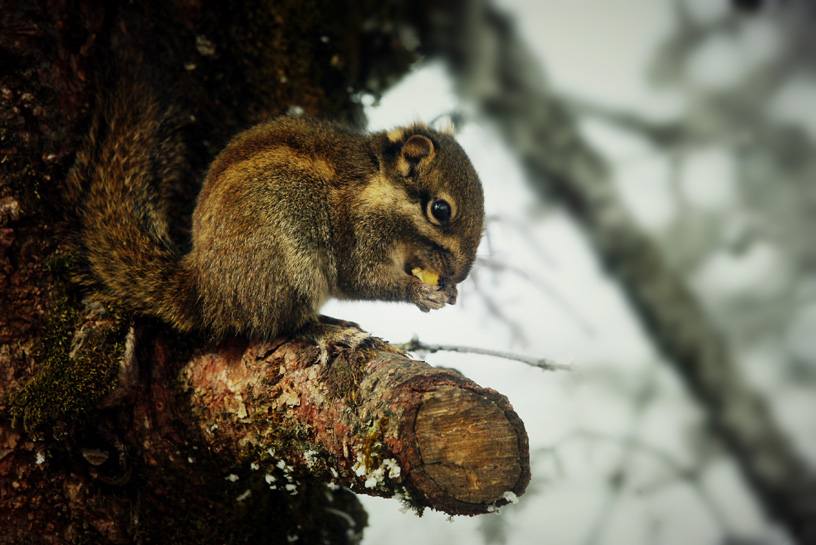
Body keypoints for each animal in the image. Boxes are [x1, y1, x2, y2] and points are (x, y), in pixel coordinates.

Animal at [68, 83, 484, 346]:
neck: (378, 182)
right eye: (440, 210)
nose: (460, 275)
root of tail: (206, 291)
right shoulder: (358, 231)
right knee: (275, 326)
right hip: (289, 267)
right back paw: (329, 331)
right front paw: (420, 291)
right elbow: (361, 277)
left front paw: (448, 291)